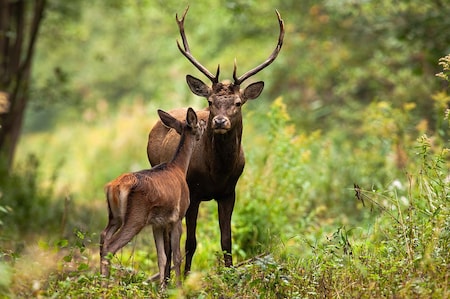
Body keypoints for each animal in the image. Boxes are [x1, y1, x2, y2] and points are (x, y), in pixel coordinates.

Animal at [100, 108, 206, 288]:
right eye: (198, 123)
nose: (206, 123)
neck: (179, 168)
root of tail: (114, 187)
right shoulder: (177, 217)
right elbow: (177, 257)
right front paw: (178, 288)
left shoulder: (157, 223)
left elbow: (161, 258)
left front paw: (162, 288)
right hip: (136, 217)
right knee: (111, 247)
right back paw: (105, 286)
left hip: (115, 216)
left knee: (103, 237)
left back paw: (99, 281)